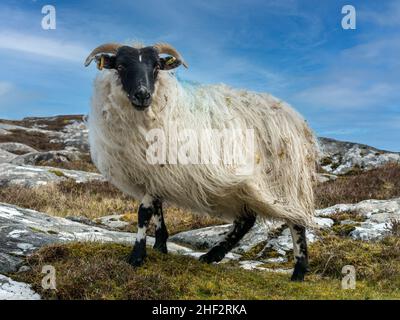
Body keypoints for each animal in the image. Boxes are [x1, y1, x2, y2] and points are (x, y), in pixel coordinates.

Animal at [84, 42, 318, 280]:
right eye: (121, 66)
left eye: (156, 67)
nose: (143, 95)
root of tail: (297, 118)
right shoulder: (154, 175)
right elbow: (157, 209)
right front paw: (159, 248)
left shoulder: (154, 170)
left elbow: (144, 213)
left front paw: (137, 257)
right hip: (245, 187)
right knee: (247, 220)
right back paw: (212, 255)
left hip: (286, 181)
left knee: (296, 222)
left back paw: (298, 272)